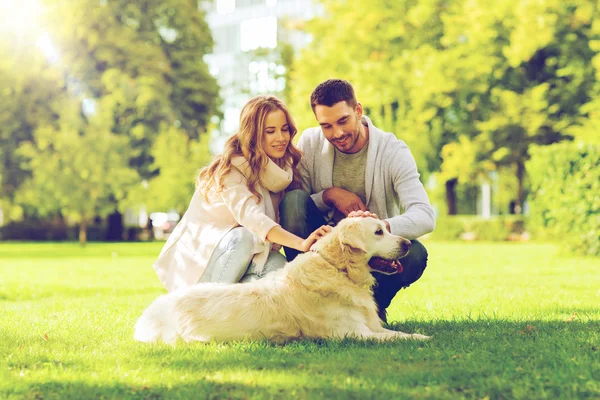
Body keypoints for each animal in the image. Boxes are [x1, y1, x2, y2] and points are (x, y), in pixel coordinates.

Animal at [134, 216, 428, 344]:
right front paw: (422, 338)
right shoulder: (352, 333)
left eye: (386, 228)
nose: (406, 244)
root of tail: (146, 315)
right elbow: (396, 337)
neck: (337, 269)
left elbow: (394, 332)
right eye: (378, 232)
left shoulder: (368, 327)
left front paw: (418, 333)